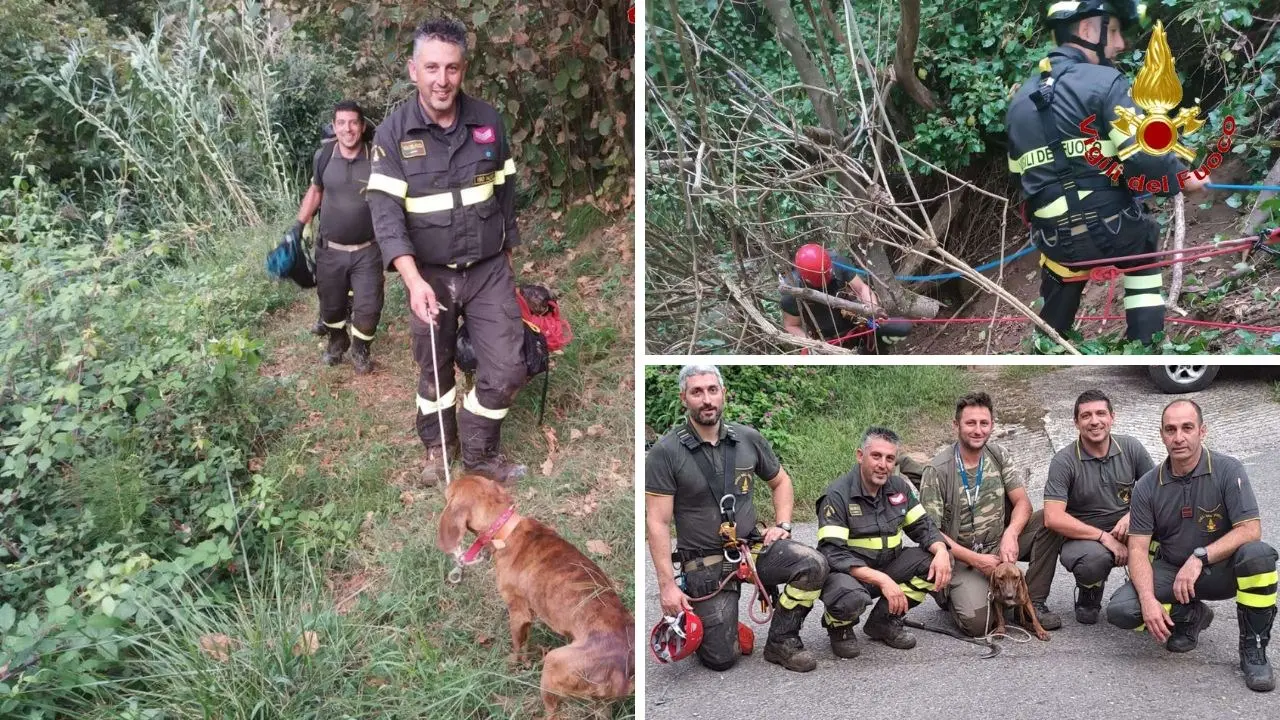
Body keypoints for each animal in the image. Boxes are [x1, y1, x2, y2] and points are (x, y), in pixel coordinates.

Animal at [440, 474, 634, 712]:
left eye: (449, 492)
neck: (505, 530)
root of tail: (623, 671)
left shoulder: (518, 612)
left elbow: (517, 646)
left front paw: (515, 664)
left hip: (553, 663)